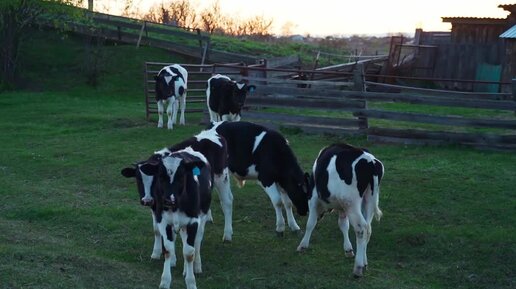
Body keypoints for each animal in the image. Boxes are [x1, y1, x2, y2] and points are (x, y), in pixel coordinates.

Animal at [138, 147, 213, 288]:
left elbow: (189, 252)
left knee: (196, 243)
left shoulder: (193, 221)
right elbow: (168, 249)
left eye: (181, 176)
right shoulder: (163, 220)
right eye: (160, 177)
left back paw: (196, 266)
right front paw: (165, 282)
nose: (169, 200)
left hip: (202, 216)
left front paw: (191, 282)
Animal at [298, 143, 382, 278]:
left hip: (352, 204)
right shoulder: (343, 208)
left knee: (361, 229)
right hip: (369, 200)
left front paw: (303, 245)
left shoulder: (313, 198)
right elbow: (343, 225)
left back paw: (358, 268)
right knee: (368, 228)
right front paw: (348, 249)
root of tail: (371, 162)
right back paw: (364, 263)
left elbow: (310, 223)